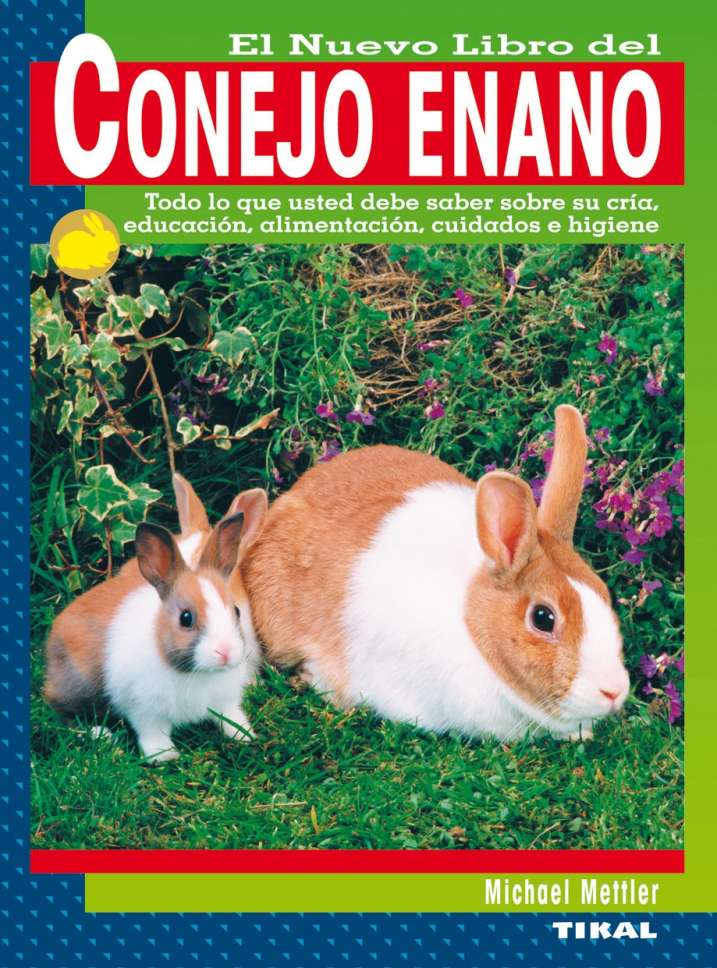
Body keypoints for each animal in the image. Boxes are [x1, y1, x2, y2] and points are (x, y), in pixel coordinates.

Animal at [44, 505, 264, 762]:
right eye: (186, 618)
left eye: (236, 611)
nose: (226, 652)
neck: (195, 673)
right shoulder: (144, 711)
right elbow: (152, 733)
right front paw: (165, 757)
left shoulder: (225, 702)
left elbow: (230, 718)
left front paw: (245, 735)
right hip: (78, 687)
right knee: (62, 713)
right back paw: (102, 734)